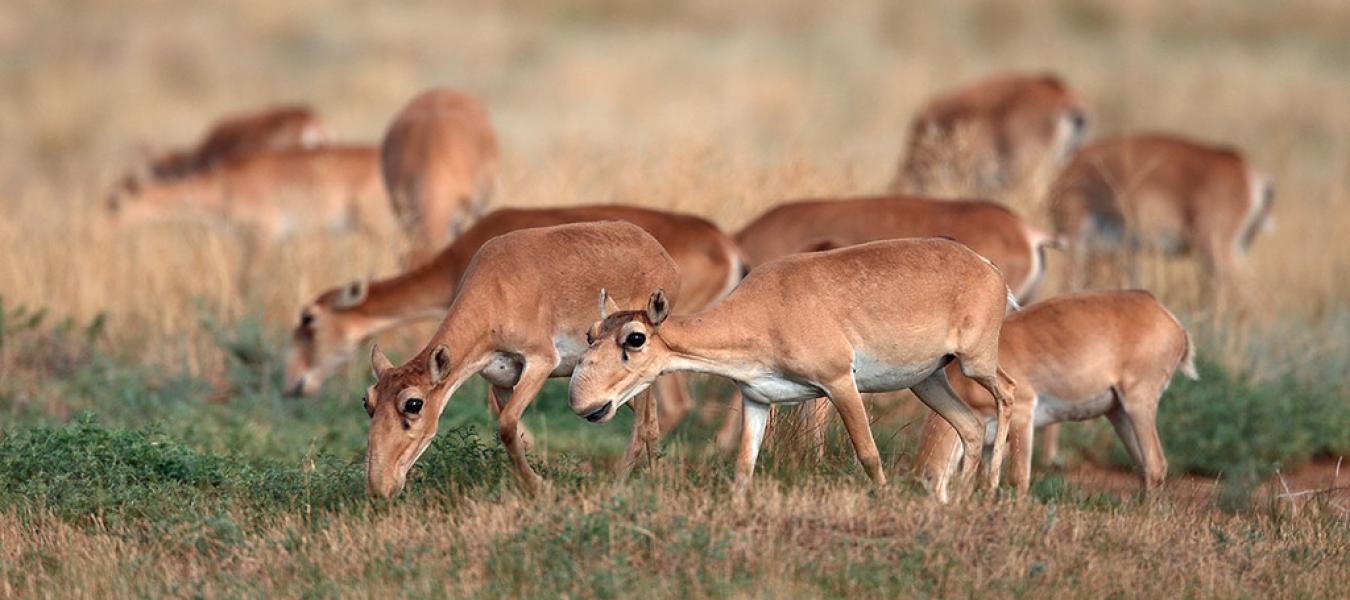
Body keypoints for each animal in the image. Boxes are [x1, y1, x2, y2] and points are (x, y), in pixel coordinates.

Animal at [918, 289, 1193, 502]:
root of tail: (1164, 314)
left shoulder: (1022, 414)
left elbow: (1019, 477)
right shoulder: (988, 443)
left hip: (1138, 405)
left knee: (1156, 465)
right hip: (1118, 413)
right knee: (1144, 468)